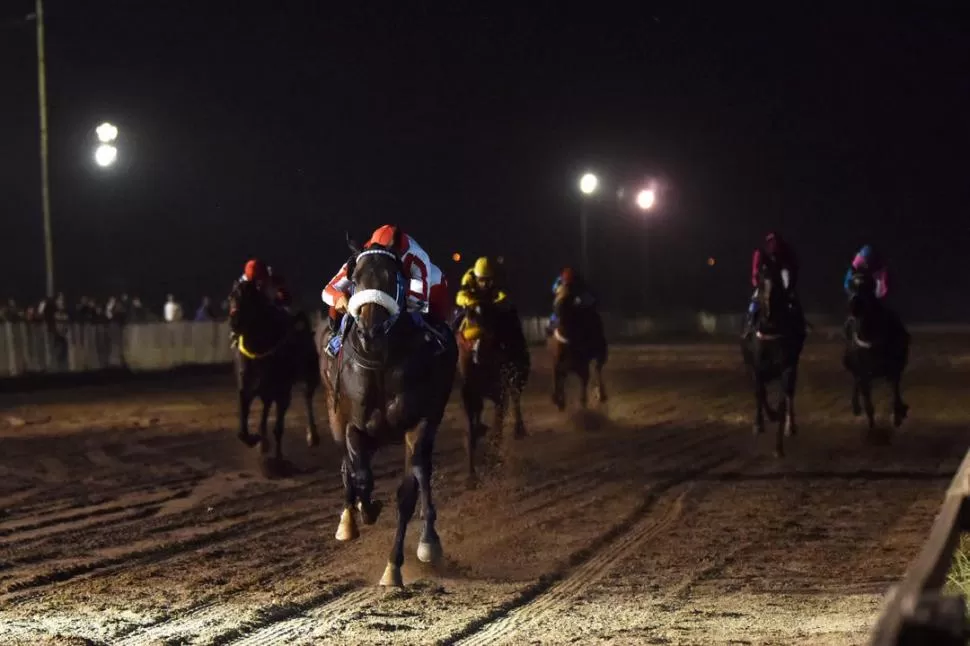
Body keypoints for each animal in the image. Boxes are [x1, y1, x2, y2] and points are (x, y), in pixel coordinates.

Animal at [316, 233, 456, 588]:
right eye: (354, 278)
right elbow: (361, 476)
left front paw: (395, 566)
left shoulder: (418, 424)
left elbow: (407, 492)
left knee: (423, 473)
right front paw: (364, 510)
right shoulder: (353, 423)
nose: (369, 330)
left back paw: (428, 538)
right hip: (332, 411)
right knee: (346, 465)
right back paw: (348, 520)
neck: (380, 361)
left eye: (393, 279)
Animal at [456, 296, 528, 488]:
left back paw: (519, 430)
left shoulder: (500, 393)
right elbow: (469, 431)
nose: (477, 354)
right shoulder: (468, 392)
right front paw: (471, 477)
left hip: (519, 373)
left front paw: (493, 462)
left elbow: (497, 429)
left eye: (490, 331)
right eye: (470, 325)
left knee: (516, 396)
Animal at [736, 264, 804, 460]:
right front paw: (760, 423)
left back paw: (790, 426)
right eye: (760, 284)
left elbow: (782, 401)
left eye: (778, 285)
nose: (768, 314)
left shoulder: (787, 368)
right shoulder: (756, 367)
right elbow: (761, 393)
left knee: (789, 394)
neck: (771, 332)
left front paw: (778, 446)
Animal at [840, 270, 908, 432]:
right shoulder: (864, 373)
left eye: (868, 285)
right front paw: (872, 429)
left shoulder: (893, 370)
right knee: (856, 381)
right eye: (851, 285)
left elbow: (895, 394)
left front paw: (898, 415)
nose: (855, 304)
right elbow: (868, 405)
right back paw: (856, 406)